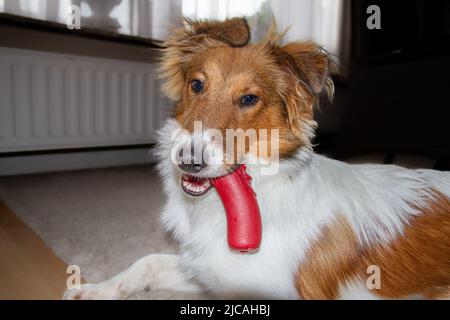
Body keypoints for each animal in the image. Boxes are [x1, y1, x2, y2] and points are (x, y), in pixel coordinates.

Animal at [64, 18, 450, 300]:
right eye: (197, 85)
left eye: (249, 99)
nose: (189, 161)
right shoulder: (211, 268)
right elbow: (149, 261)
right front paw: (94, 289)